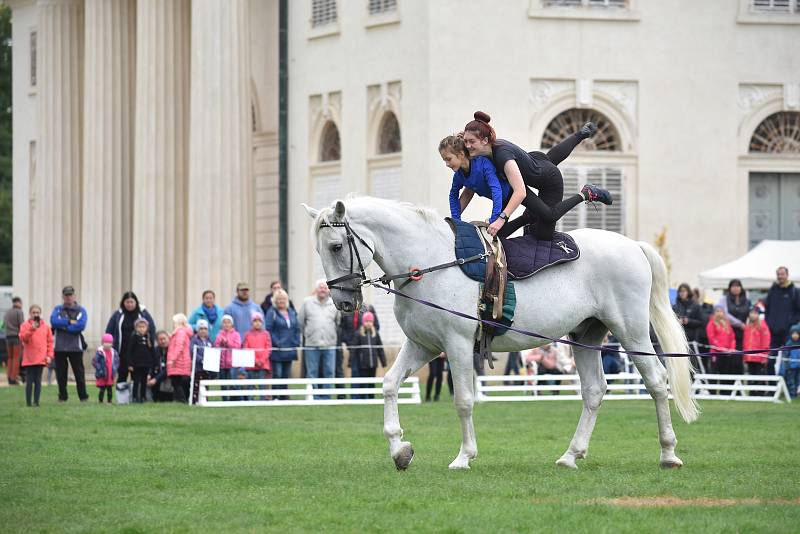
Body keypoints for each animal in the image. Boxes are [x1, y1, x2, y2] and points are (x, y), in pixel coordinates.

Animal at [306, 198, 700, 474]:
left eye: (337, 246)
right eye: (319, 249)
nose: (343, 302)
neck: (428, 265)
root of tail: (633, 246)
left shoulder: (457, 345)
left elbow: (463, 400)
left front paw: (464, 457)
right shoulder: (423, 346)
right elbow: (388, 385)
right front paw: (399, 450)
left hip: (631, 332)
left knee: (656, 382)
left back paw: (668, 453)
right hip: (587, 334)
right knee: (594, 391)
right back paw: (571, 456)